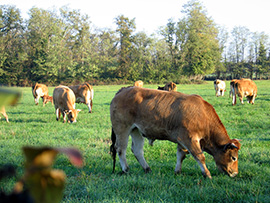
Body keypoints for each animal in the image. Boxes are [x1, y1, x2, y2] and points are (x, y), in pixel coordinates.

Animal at [109, 86, 240, 178]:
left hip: (136, 130)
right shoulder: (189, 139)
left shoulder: (182, 140)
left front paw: (177, 171)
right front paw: (207, 174)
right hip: (122, 129)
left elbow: (181, 155)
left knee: (137, 150)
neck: (204, 115)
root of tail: (124, 89)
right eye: (233, 157)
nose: (235, 173)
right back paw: (126, 169)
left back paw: (147, 169)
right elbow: (200, 156)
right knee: (121, 149)